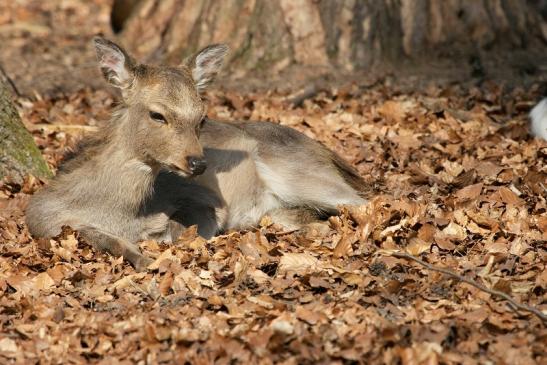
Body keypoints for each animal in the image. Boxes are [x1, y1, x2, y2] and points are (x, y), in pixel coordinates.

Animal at [25, 37, 368, 270]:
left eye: (202, 118)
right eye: (157, 114)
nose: (198, 162)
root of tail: (326, 151)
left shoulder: (202, 200)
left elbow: (177, 233)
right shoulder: (41, 221)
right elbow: (105, 239)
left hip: (300, 172)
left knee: (366, 200)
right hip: (280, 206)